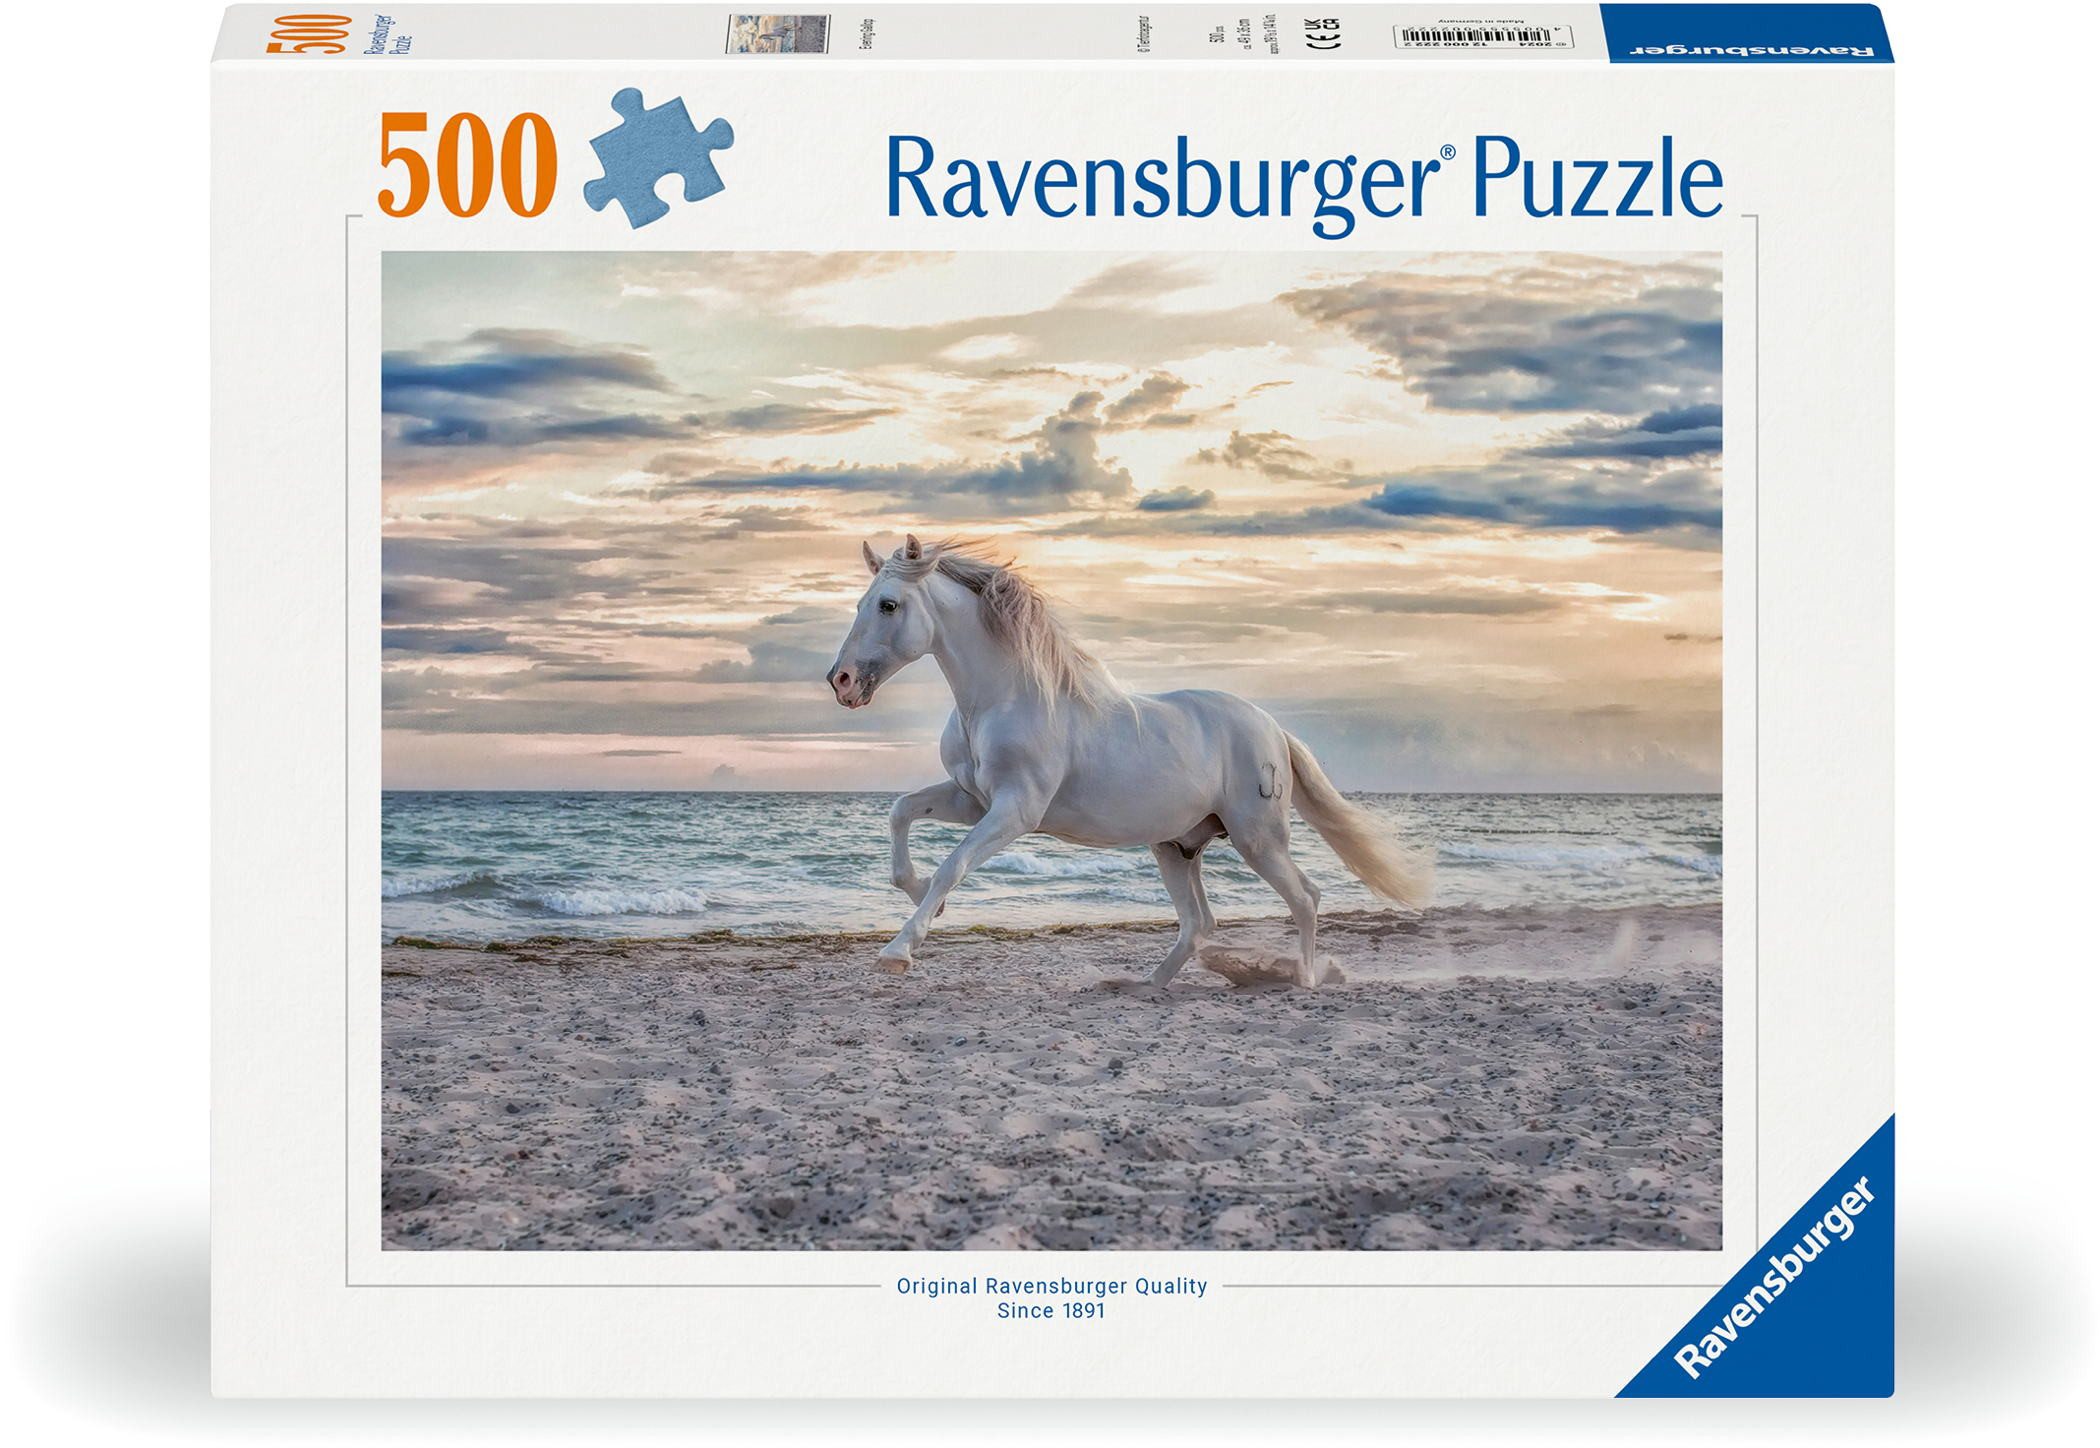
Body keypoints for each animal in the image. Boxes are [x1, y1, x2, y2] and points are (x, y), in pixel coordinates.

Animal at [826, 535, 1434, 987]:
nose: (841, 682)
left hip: (1257, 838)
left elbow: (953, 864)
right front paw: (922, 898)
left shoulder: (1015, 811)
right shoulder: (972, 800)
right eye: (859, 604)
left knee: (1304, 898)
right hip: (1176, 846)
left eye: (888, 604)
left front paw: (900, 950)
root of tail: (1272, 729)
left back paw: (1303, 981)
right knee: (1199, 923)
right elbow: (901, 814)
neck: (1004, 698)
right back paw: (1146, 985)